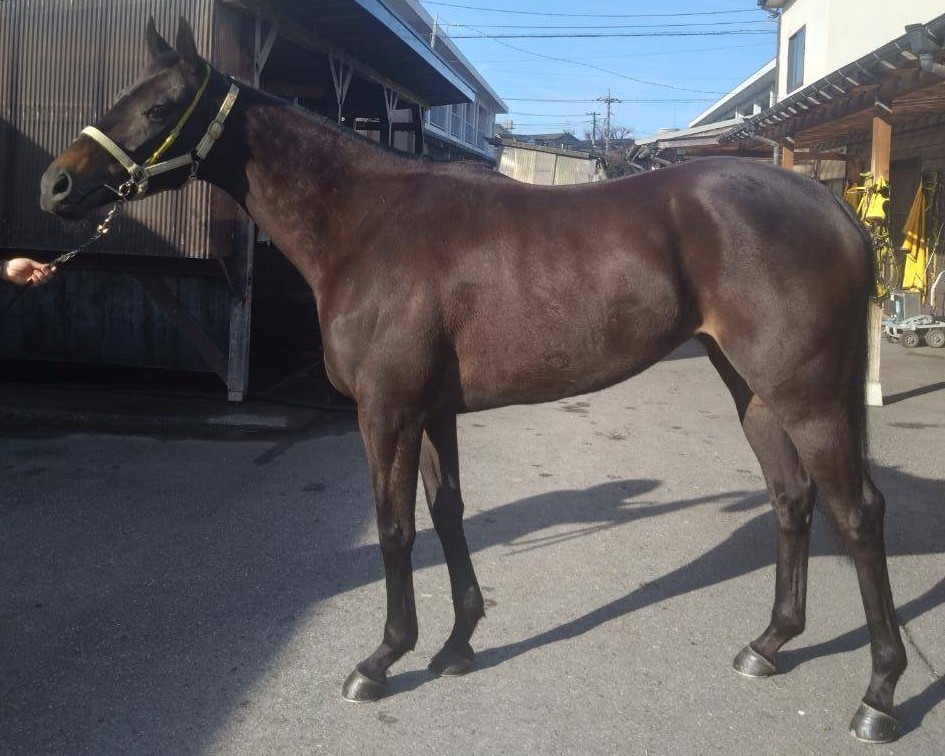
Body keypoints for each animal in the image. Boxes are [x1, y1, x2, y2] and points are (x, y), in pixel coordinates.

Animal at [40, 18, 907, 743]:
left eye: (160, 107)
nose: (56, 186)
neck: (366, 224)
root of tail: (826, 201)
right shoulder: (431, 412)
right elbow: (446, 512)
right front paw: (457, 643)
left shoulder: (386, 411)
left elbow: (394, 529)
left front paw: (382, 659)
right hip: (752, 388)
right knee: (791, 499)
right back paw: (768, 644)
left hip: (805, 392)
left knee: (858, 513)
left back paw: (877, 695)